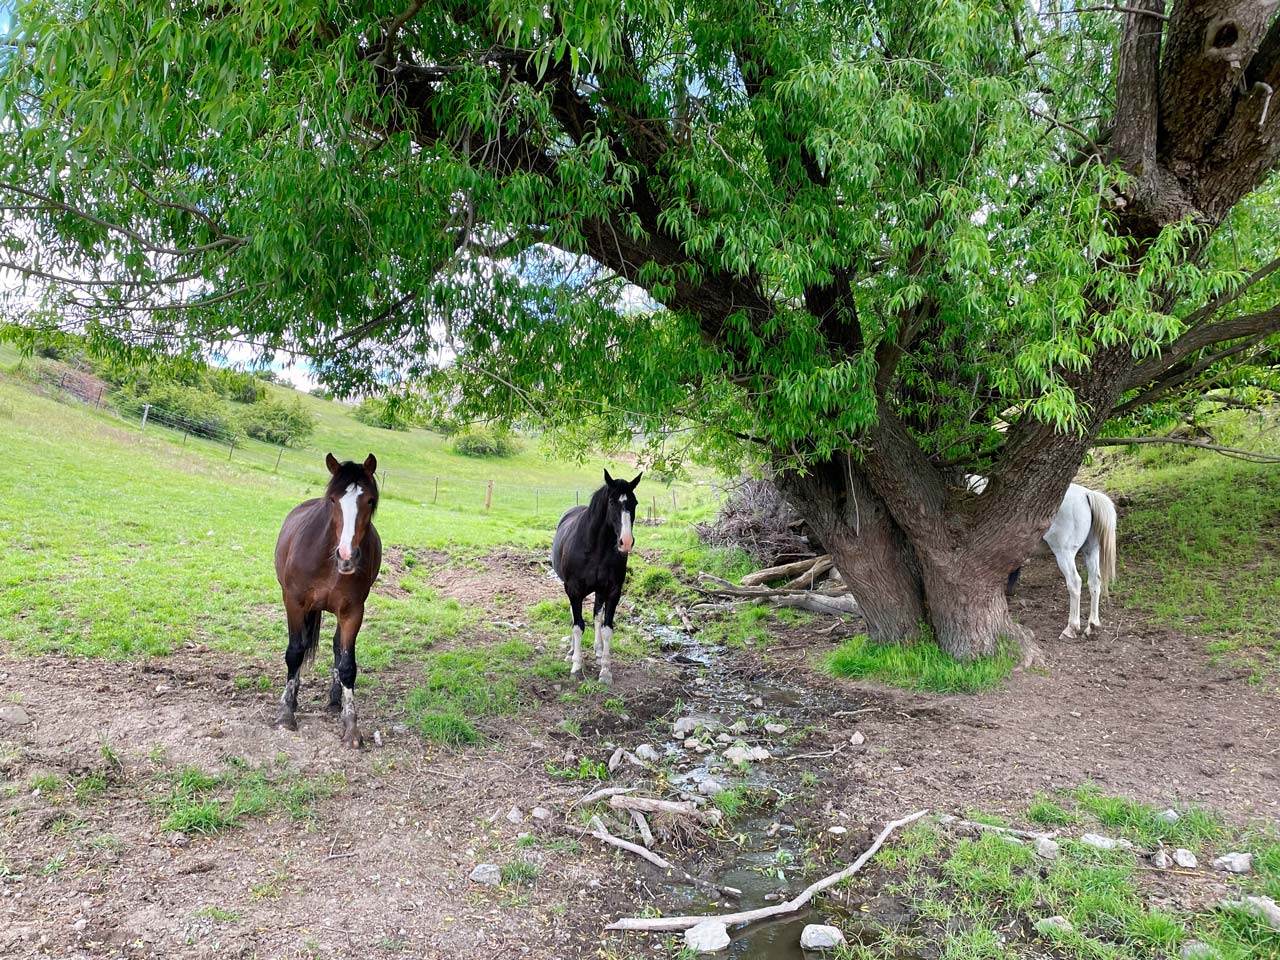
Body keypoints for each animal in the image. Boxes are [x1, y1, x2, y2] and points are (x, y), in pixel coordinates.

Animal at [273, 455, 378, 747]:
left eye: (370, 501)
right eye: (332, 499)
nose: (347, 556)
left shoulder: (353, 612)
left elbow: (347, 665)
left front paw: (351, 726)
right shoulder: (294, 603)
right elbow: (295, 652)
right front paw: (286, 712)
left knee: (336, 649)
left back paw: (334, 701)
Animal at [552, 471, 645, 686]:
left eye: (634, 502)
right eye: (611, 501)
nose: (626, 542)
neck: (596, 548)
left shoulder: (612, 591)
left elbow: (606, 628)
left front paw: (605, 671)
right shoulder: (574, 590)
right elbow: (578, 626)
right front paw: (577, 667)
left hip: (599, 591)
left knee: (596, 615)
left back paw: (598, 649)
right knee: (574, 616)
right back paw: (571, 652)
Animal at [962, 478, 1116, 642]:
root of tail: (1086, 494)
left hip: (1064, 553)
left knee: (1075, 583)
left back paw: (1071, 628)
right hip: (1091, 550)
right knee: (1094, 582)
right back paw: (1092, 627)